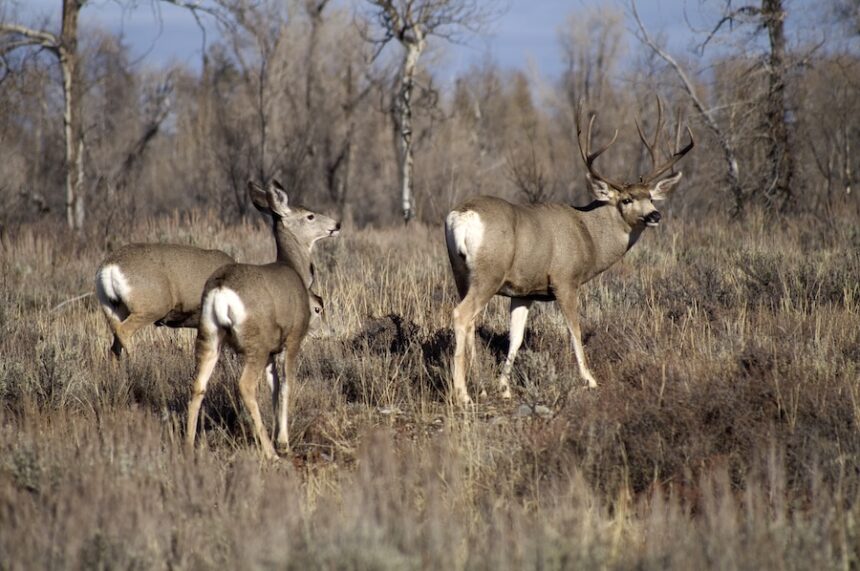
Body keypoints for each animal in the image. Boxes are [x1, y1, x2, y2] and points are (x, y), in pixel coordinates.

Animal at [94, 184, 330, 359]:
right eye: (310, 216)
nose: (335, 225)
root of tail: (109, 268)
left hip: (114, 307)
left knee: (114, 347)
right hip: (151, 305)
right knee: (124, 334)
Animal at [185, 180, 341, 460]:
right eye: (310, 215)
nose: (336, 224)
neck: (295, 270)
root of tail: (221, 290)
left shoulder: (271, 350)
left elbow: (274, 387)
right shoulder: (293, 337)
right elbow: (287, 383)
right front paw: (284, 442)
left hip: (208, 334)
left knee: (198, 384)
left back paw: (188, 446)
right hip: (254, 341)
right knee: (245, 386)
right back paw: (270, 452)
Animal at [444, 99, 694, 404]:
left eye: (649, 197)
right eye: (626, 199)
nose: (654, 215)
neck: (588, 235)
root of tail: (462, 216)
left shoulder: (524, 291)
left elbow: (516, 337)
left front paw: (504, 388)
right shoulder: (565, 280)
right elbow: (574, 329)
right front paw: (590, 380)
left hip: (461, 273)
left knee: (470, 323)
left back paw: (478, 386)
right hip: (488, 274)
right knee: (461, 315)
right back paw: (463, 395)